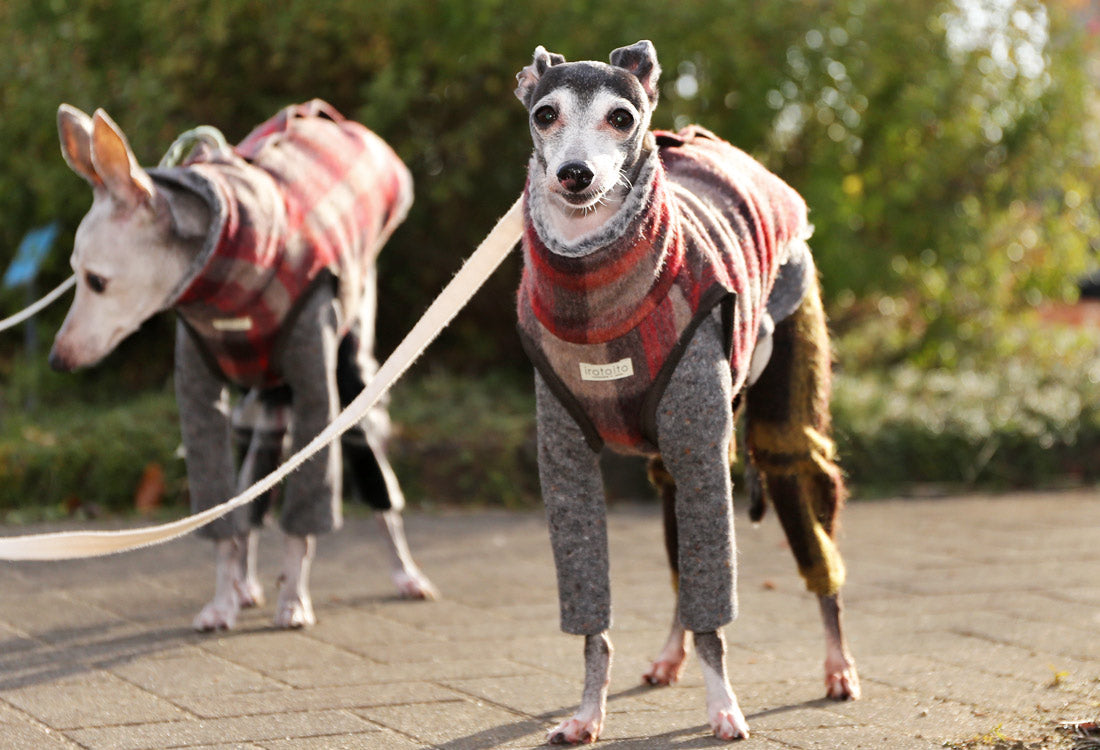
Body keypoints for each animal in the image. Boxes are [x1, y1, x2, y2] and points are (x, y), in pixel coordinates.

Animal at [50, 102, 437, 629]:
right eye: (76, 276)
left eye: (97, 281)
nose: (57, 359)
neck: (222, 287)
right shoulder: (198, 397)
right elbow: (222, 508)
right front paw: (222, 600)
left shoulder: (316, 388)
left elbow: (304, 514)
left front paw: (293, 598)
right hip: (261, 397)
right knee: (255, 474)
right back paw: (245, 584)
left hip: (351, 364)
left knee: (372, 474)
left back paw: (405, 573)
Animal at [512, 42, 858, 743]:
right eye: (544, 113)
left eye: (622, 117)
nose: (575, 175)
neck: (600, 304)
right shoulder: (565, 465)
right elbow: (593, 614)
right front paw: (586, 713)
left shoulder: (700, 450)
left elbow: (713, 611)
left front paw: (724, 706)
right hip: (670, 459)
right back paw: (669, 655)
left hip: (780, 408)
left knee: (813, 528)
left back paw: (837, 665)